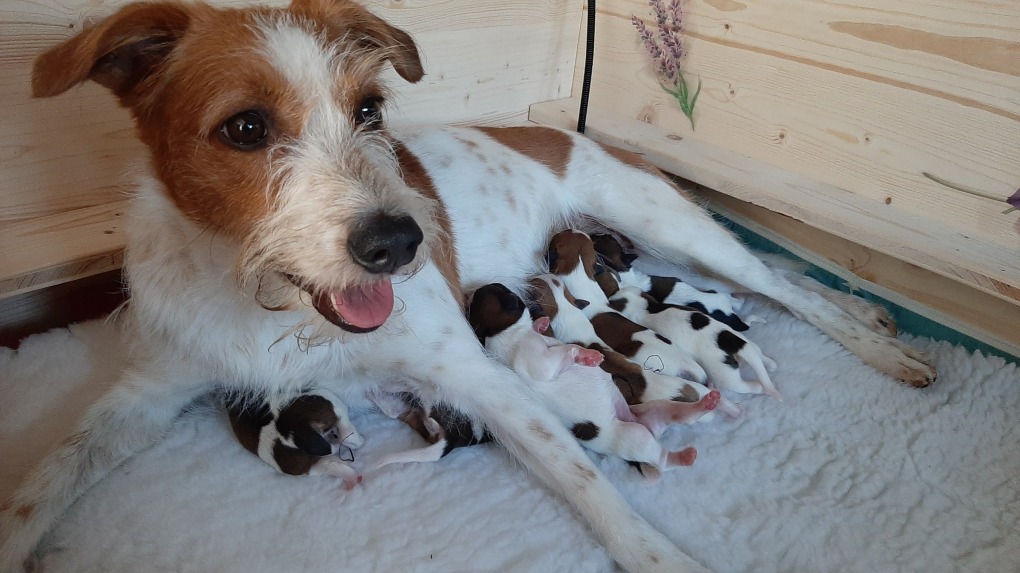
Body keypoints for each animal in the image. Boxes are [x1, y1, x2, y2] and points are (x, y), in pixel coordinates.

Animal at [229, 389, 365, 489]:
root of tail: (294, 433)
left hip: (305, 466)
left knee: (332, 464)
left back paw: (352, 476)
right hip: (329, 399)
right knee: (348, 435)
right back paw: (359, 441)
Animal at [471, 279, 701, 473]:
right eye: (505, 294)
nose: (499, 282)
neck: (501, 334)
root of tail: (644, 425)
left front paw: (541, 324)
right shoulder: (535, 362)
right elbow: (564, 352)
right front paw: (585, 355)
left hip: (652, 409)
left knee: (674, 412)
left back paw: (703, 405)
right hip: (635, 437)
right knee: (660, 458)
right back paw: (681, 457)